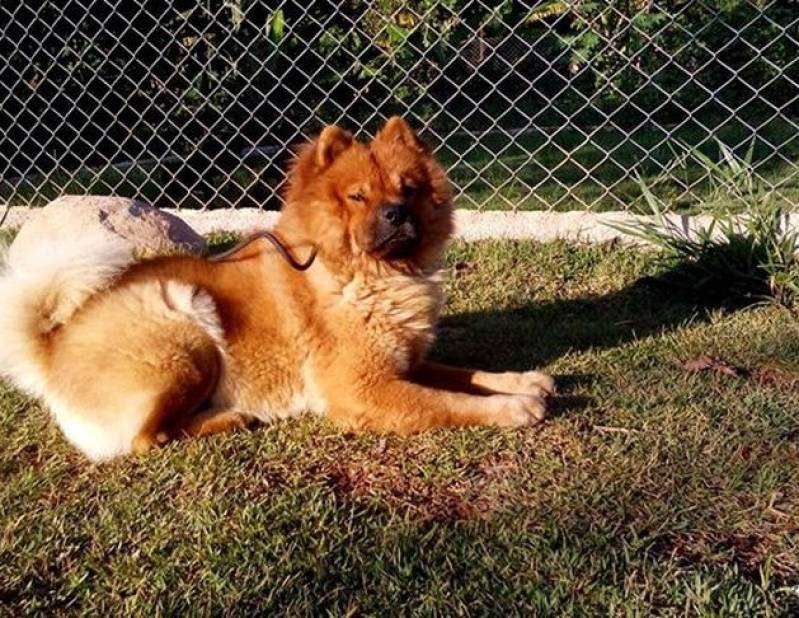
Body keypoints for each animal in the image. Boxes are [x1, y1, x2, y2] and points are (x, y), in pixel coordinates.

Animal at [0, 118, 552, 460]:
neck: (366, 277)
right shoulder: (364, 388)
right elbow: (446, 402)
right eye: (358, 197)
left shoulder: (405, 363)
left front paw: (522, 381)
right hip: (186, 323)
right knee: (148, 437)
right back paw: (228, 418)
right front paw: (511, 409)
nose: (397, 213)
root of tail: (53, 345)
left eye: (409, 189)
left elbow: (466, 374)